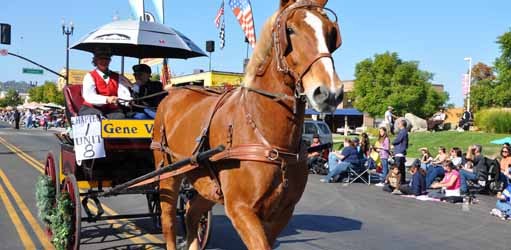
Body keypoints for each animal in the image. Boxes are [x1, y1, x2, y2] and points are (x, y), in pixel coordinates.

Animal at [152, 0, 344, 249]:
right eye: (290, 30)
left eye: (331, 34)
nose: (330, 92)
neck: (266, 138)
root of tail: (171, 94)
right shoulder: (241, 209)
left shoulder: (282, 213)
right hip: (168, 174)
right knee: (168, 222)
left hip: (207, 186)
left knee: (192, 214)